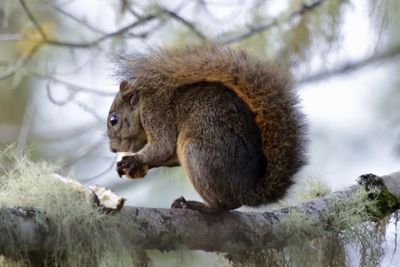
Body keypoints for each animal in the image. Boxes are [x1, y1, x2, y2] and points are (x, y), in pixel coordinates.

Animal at [106, 45, 306, 214]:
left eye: (113, 120)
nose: (113, 150)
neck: (143, 102)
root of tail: (246, 191)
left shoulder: (155, 112)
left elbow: (163, 146)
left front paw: (133, 160)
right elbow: (167, 154)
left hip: (197, 154)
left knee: (226, 205)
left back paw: (195, 205)